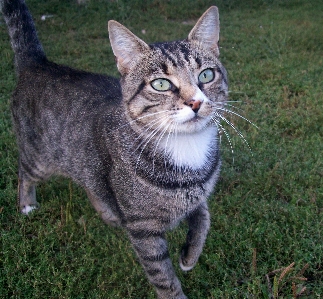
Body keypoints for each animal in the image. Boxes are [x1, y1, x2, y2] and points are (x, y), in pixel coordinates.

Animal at [1, 1, 230, 298]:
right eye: (161, 84)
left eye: (206, 75)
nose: (195, 102)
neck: (186, 148)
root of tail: (38, 64)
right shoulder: (143, 230)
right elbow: (162, 275)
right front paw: (175, 289)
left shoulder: (197, 194)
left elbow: (203, 216)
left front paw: (190, 255)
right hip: (39, 158)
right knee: (24, 172)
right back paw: (27, 204)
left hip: (85, 162)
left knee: (91, 183)